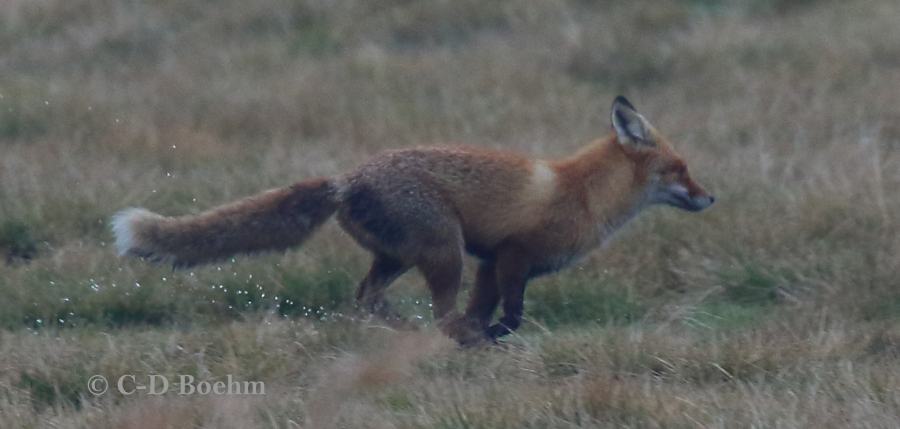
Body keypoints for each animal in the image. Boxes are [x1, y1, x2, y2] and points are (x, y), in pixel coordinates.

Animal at [111, 96, 714, 343]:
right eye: (681, 168)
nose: (711, 198)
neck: (583, 194)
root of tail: (347, 177)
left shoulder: (490, 263)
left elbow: (487, 309)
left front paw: (486, 336)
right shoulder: (512, 254)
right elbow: (510, 314)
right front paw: (492, 336)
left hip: (402, 258)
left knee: (367, 300)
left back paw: (412, 334)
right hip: (443, 251)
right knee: (434, 314)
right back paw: (444, 339)